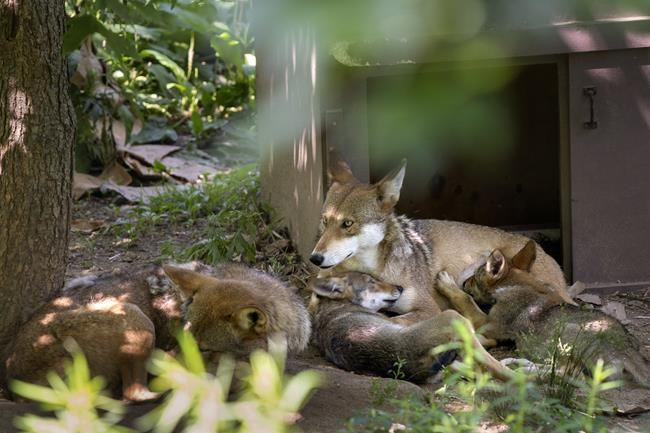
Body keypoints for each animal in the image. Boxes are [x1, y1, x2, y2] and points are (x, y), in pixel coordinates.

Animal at [6, 263, 310, 401]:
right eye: (184, 339)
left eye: (204, 348)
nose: (166, 360)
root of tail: (10, 373)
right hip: (136, 318)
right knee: (133, 394)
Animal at [309, 158, 575, 325]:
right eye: (324, 221)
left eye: (347, 224)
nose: (315, 258)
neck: (376, 271)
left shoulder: (428, 309)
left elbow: (392, 319)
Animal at [309, 272, 515, 383]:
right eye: (372, 282)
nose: (400, 288)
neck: (338, 306)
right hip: (451, 316)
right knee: (490, 363)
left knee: (478, 369)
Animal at [436, 241, 650, 387]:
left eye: (475, 277)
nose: (464, 282)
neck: (519, 284)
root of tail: (626, 347)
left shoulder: (489, 324)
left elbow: (467, 300)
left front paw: (448, 284)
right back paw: (518, 363)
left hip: (566, 335)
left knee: (567, 372)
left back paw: (523, 371)